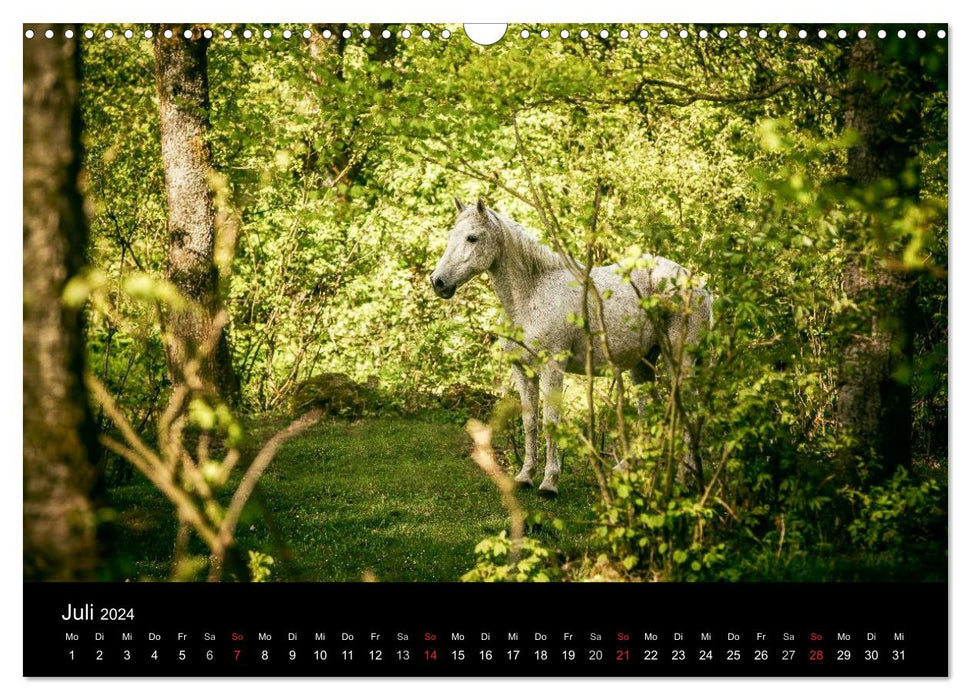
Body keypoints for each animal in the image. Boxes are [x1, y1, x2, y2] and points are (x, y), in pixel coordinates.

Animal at [432, 197, 712, 492]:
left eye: (472, 238)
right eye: (451, 236)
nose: (438, 282)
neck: (531, 296)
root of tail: (697, 283)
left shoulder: (552, 367)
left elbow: (550, 422)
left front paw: (549, 483)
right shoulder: (522, 370)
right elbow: (529, 422)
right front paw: (525, 476)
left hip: (680, 362)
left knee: (688, 412)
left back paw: (684, 480)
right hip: (643, 364)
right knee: (650, 411)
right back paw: (632, 473)